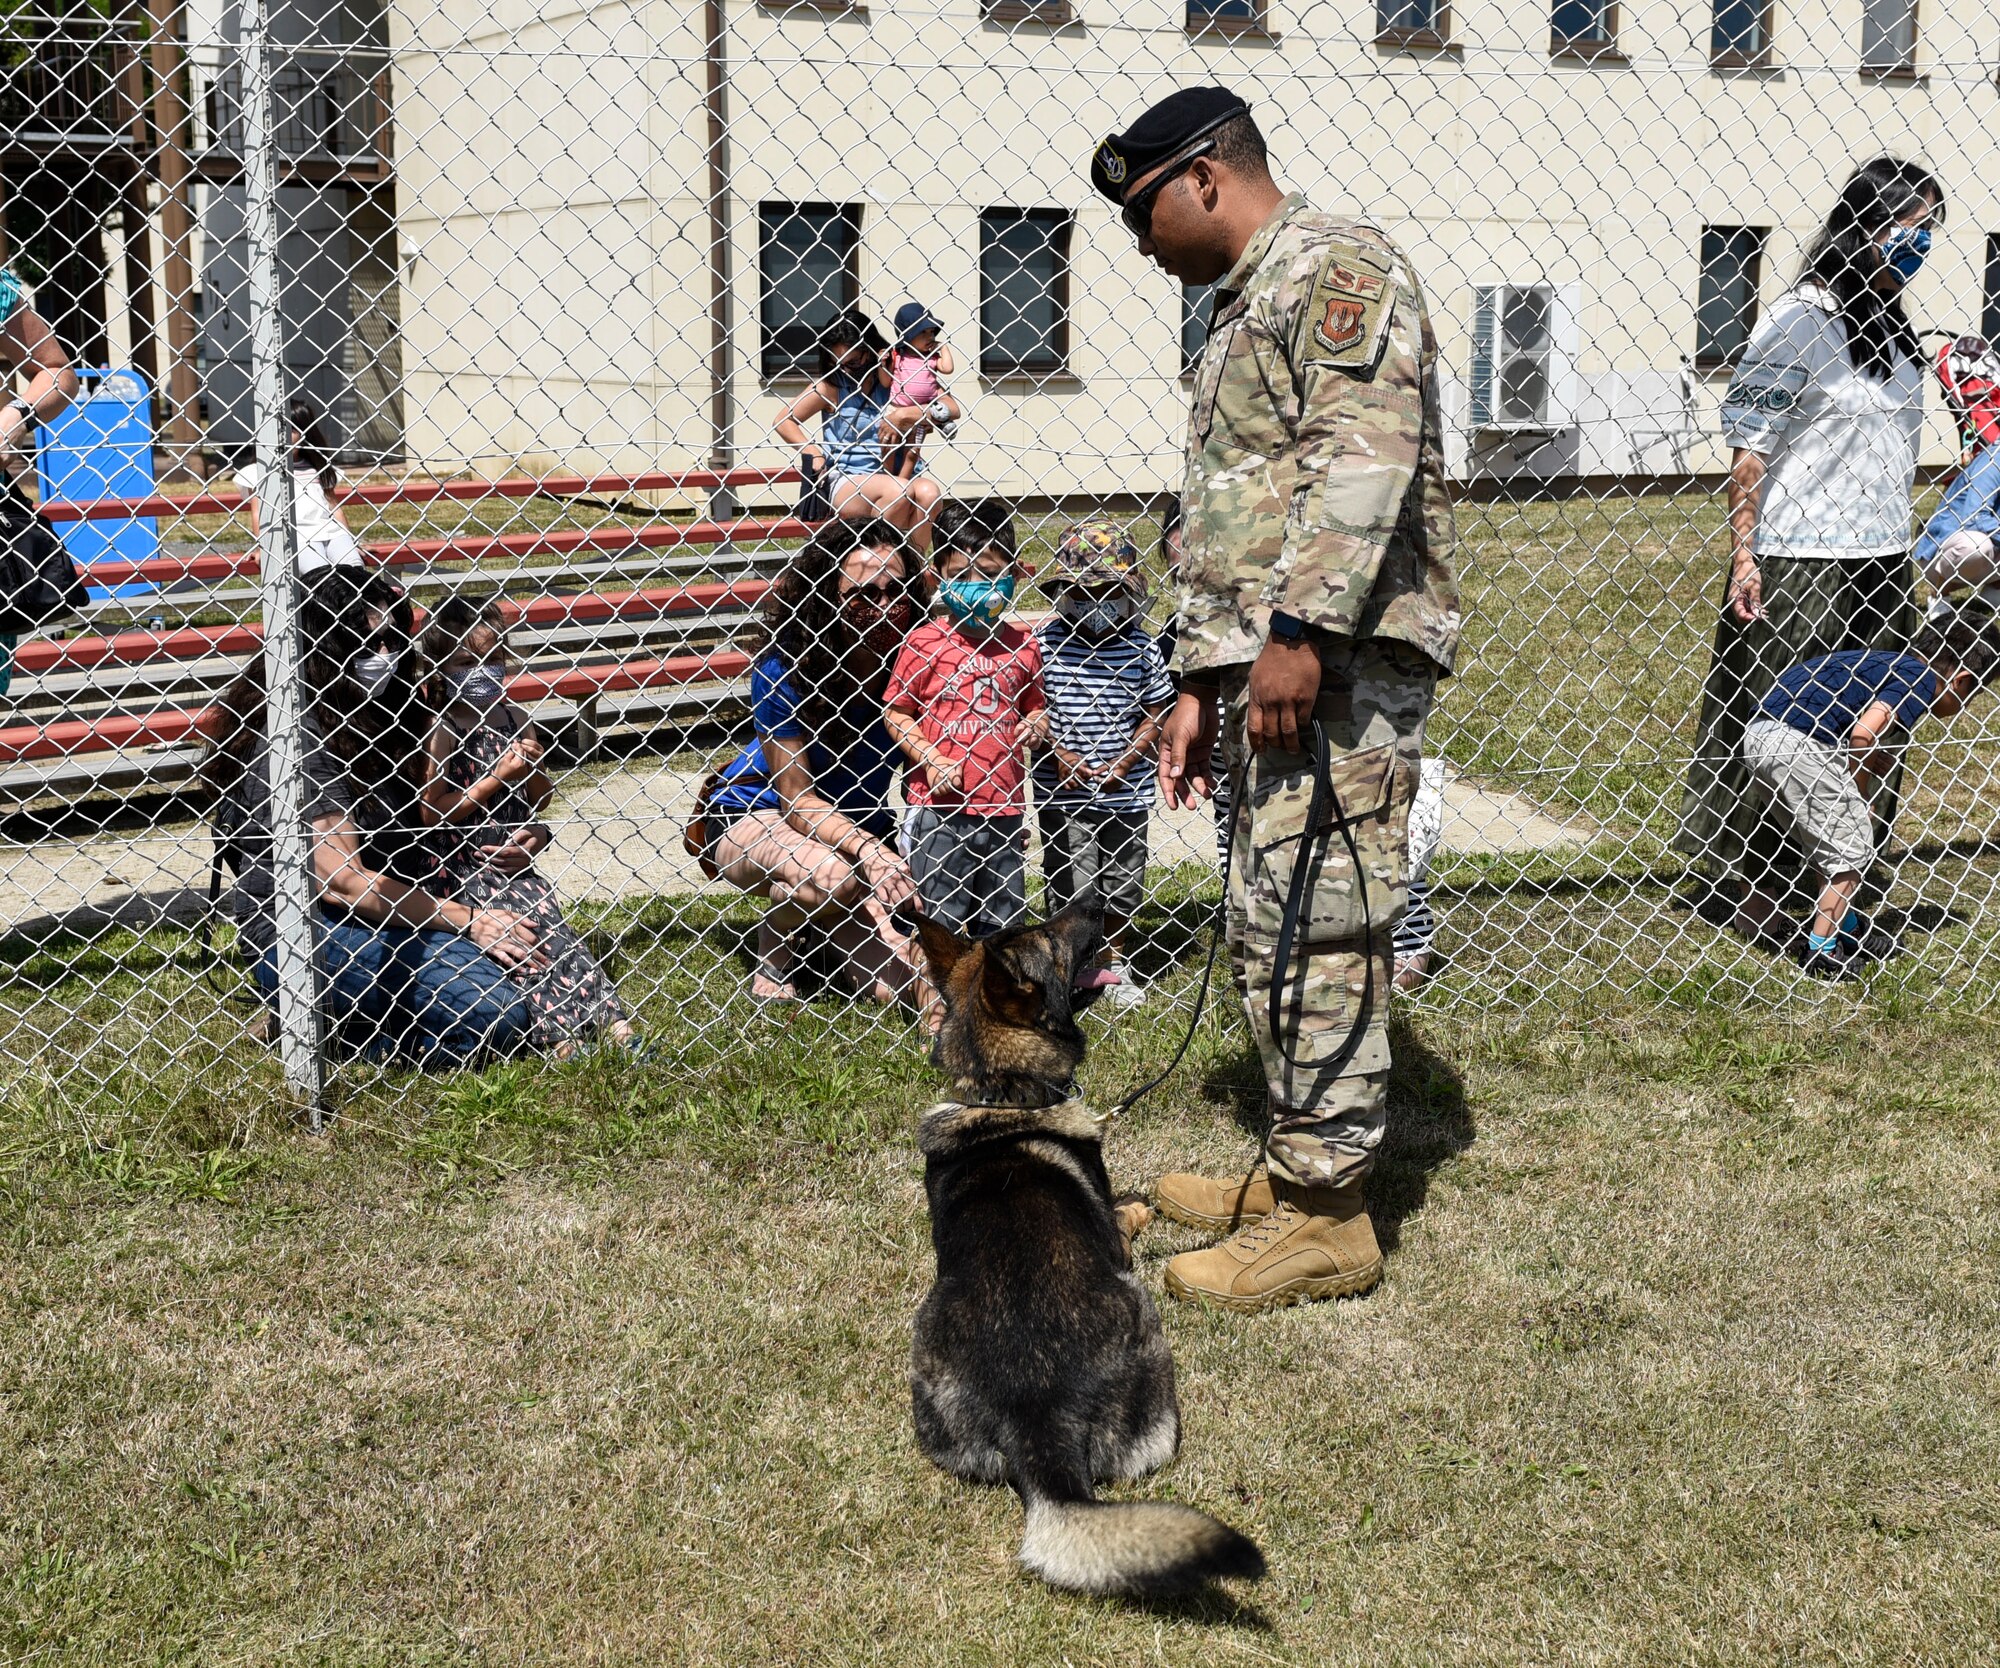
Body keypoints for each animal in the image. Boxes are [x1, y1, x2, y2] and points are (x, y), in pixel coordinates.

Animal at [912, 904, 1264, 1592]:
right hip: (1144, 1323)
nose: (1098, 903)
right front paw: (1139, 1206)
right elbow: (1125, 1212)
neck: (1002, 1093)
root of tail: (1037, 1415)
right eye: (1050, 939)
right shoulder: (1116, 1240)